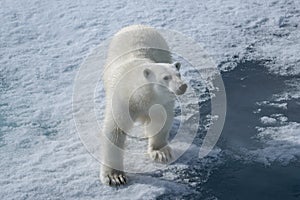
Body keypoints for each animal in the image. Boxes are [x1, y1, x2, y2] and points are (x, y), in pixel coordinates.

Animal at [99, 25, 186, 186]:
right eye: (165, 77)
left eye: (179, 74)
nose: (182, 86)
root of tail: (137, 25)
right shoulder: (122, 101)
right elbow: (115, 131)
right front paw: (114, 176)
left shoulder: (159, 102)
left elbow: (160, 120)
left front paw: (160, 153)